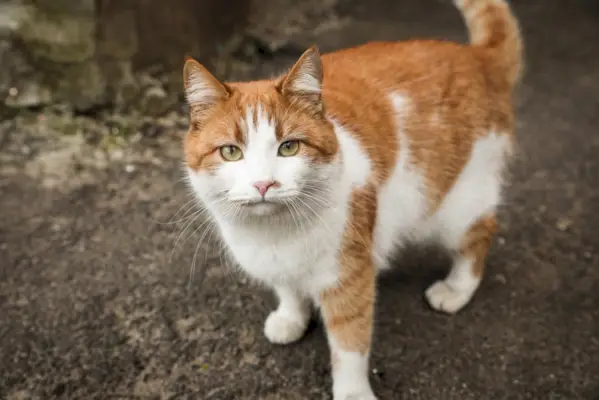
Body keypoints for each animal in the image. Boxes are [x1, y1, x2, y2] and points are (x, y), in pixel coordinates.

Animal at [180, 1, 524, 398]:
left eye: (289, 147)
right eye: (231, 152)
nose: (264, 184)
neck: (275, 233)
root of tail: (476, 56)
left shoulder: (349, 280)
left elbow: (349, 346)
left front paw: (352, 392)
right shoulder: (276, 264)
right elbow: (288, 289)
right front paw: (290, 318)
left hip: (456, 205)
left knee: (480, 233)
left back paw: (455, 289)